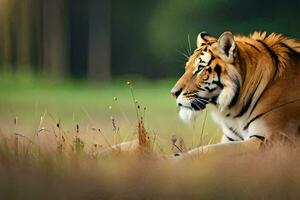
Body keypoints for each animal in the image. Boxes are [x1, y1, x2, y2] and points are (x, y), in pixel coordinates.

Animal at [170, 31, 300, 158]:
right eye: (187, 67)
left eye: (201, 68)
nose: (173, 93)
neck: (234, 109)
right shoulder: (231, 138)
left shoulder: (269, 139)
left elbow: (210, 149)